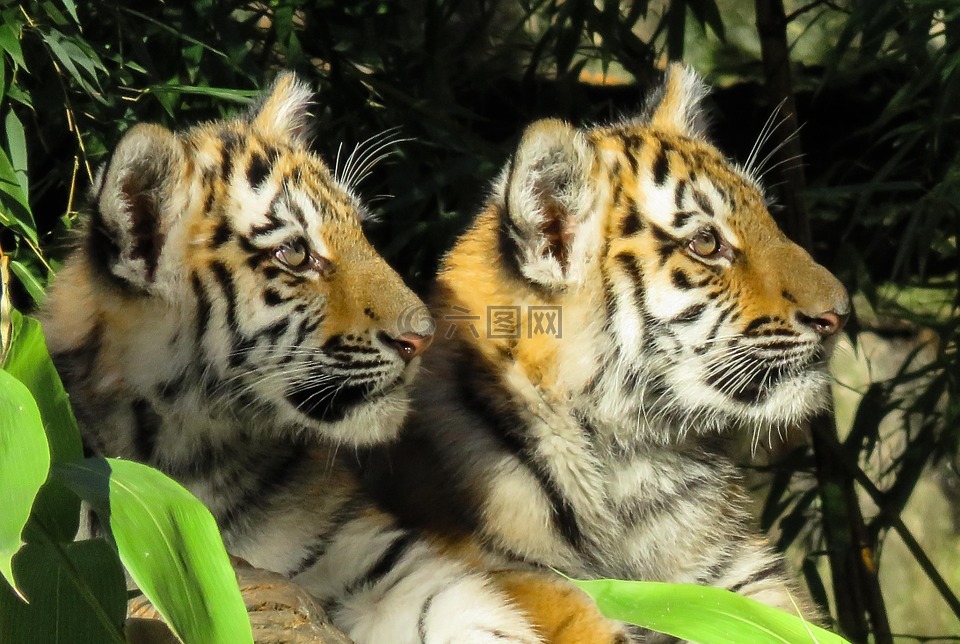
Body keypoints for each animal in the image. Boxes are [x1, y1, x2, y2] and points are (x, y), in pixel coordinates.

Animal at [361, 63, 850, 637]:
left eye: (769, 219)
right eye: (706, 244)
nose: (840, 314)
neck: (628, 463)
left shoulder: (744, 577)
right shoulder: (499, 572)